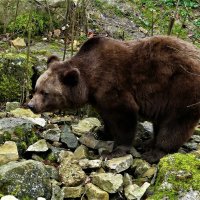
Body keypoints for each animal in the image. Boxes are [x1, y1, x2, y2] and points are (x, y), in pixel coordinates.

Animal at [27, 36, 200, 163]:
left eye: (45, 92)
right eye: (36, 88)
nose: (31, 105)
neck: (91, 81)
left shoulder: (113, 85)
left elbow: (124, 116)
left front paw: (114, 151)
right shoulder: (99, 98)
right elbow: (107, 117)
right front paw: (101, 132)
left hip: (181, 89)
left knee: (175, 123)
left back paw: (155, 152)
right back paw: (148, 143)